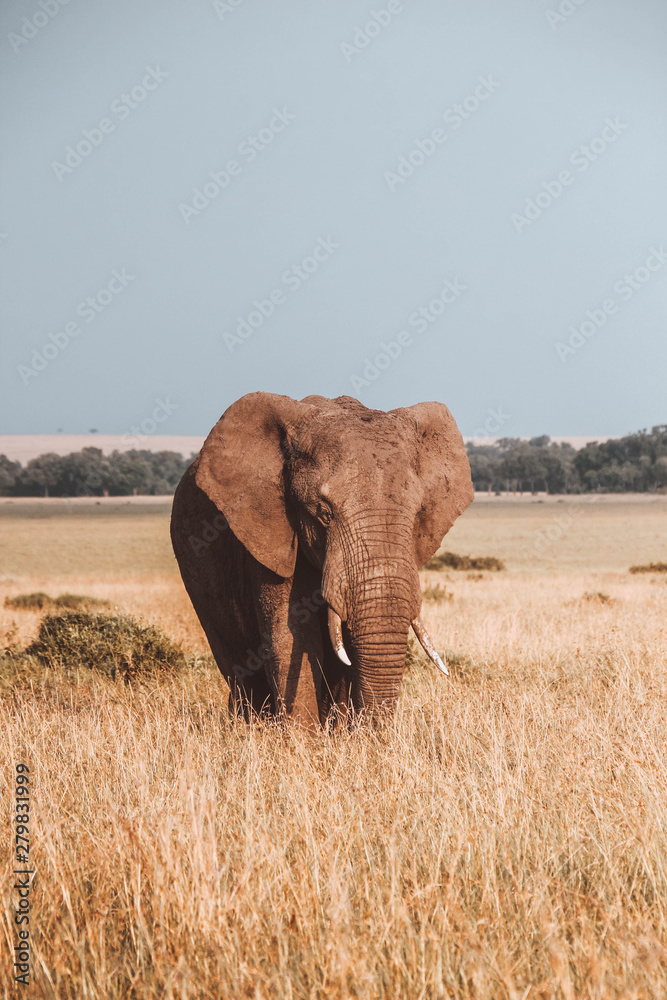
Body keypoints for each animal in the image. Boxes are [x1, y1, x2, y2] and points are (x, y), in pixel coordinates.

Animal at [170, 392, 473, 725]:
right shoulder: (268, 536)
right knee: (238, 664)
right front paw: (301, 737)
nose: (374, 733)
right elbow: (293, 636)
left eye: (418, 513)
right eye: (324, 514)